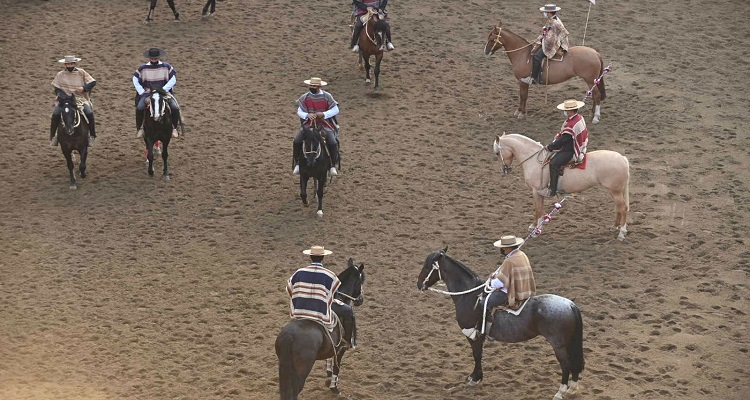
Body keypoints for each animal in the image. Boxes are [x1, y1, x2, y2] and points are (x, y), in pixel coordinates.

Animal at [278, 260, 368, 400]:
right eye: (361, 280)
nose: (360, 299)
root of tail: (289, 335)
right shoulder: (340, 350)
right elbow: (337, 367)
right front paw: (334, 387)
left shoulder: (333, 347)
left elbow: (329, 360)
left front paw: (328, 377)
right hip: (301, 370)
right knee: (295, 391)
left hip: (284, 367)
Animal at [418, 248, 588, 398]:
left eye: (427, 266)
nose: (419, 284)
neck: (470, 296)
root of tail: (570, 305)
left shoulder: (473, 335)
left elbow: (476, 355)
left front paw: (474, 378)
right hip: (569, 343)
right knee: (574, 363)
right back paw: (572, 389)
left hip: (559, 345)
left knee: (566, 364)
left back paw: (560, 392)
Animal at [496, 134, 632, 241]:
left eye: (497, 153)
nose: (504, 170)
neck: (534, 161)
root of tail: (623, 159)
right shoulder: (539, 193)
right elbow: (539, 209)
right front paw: (534, 226)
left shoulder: (536, 191)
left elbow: (538, 209)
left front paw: (535, 231)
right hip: (614, 191)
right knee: (618, 208)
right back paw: (614, 227)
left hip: (615, 191)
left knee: (623, 208)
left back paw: (621, 233)